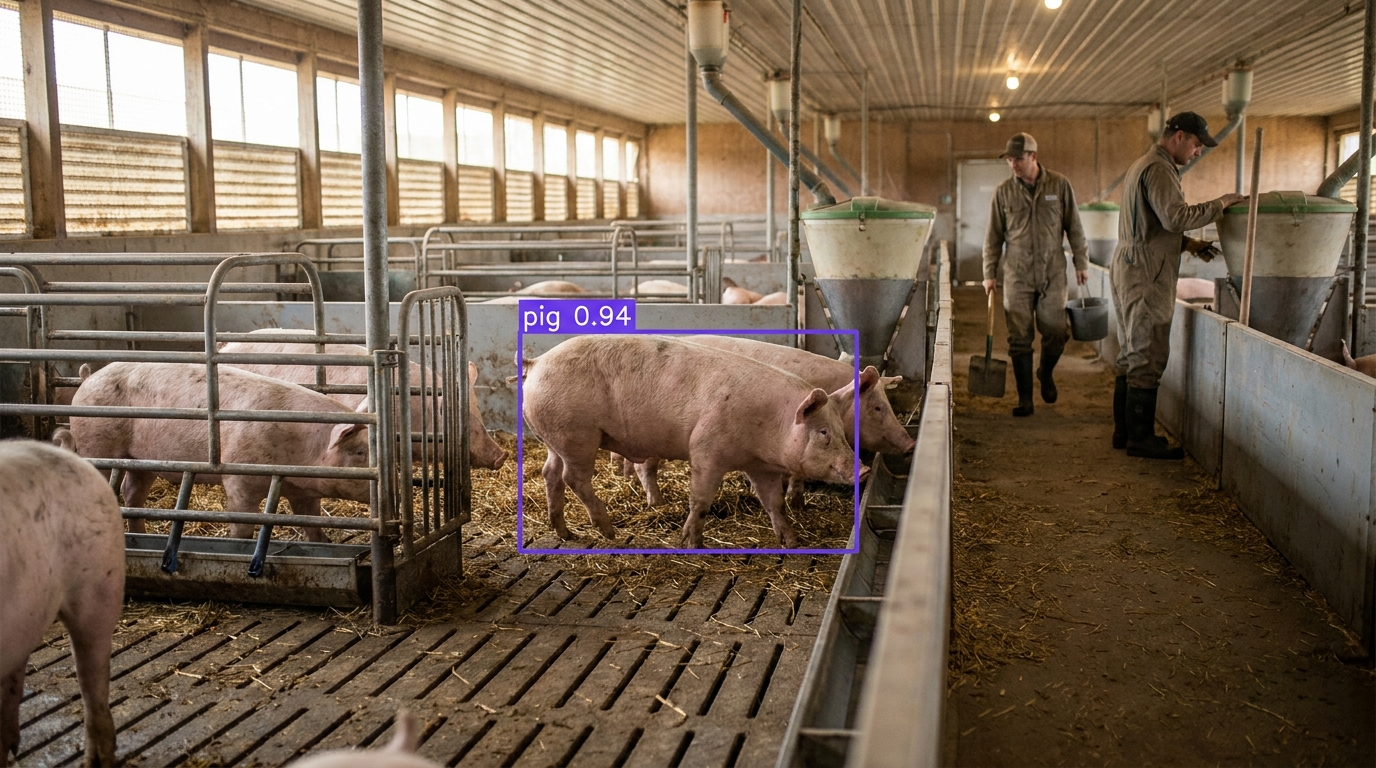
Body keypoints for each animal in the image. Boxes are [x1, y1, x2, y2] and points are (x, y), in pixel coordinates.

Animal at [68, 362, 373, 542]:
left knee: (133, 495)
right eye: (359, 453)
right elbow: (242, 525)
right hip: (95, 443)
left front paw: (324, 542)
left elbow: (312, 524)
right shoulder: (240, 477)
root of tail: (88, 378)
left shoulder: (303, 490)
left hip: (142, 459)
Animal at [521, 335, 859, 547]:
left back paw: (565, 534)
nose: (863, 469)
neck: (770, 422)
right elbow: (701, 500)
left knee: (550, 473)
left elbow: (774, 503)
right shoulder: (707, 449)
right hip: (577, 435)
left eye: (841, 431)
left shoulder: (760, 466)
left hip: (555, 438)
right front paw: (692, 543)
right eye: (823, 432)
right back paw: (609, 532)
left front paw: (791, 541)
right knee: (573, 477)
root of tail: (536, 363)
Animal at [628, 336, 913, 508]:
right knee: (645, 466)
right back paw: (657, 503)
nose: (911, 445)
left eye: (888, 404)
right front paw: (795, 502)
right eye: (877, 408)